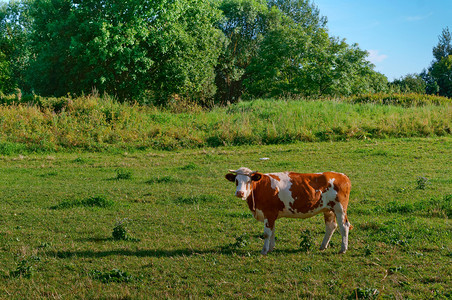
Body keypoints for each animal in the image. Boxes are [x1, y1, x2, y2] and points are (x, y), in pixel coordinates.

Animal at [226, 168, 354, 254]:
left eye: (249, 181)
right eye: (236, 181)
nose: (240, 193)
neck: (261, 187)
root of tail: (342, 175)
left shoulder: (269, 213)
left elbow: (267, 233)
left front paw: (264, 250)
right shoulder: (271, 215)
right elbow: (272, 232)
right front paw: (271, 248)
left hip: (340, 209)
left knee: (344, 226)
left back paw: (343, 249)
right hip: (328, 210)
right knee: (331, 226)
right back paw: (323, 246)